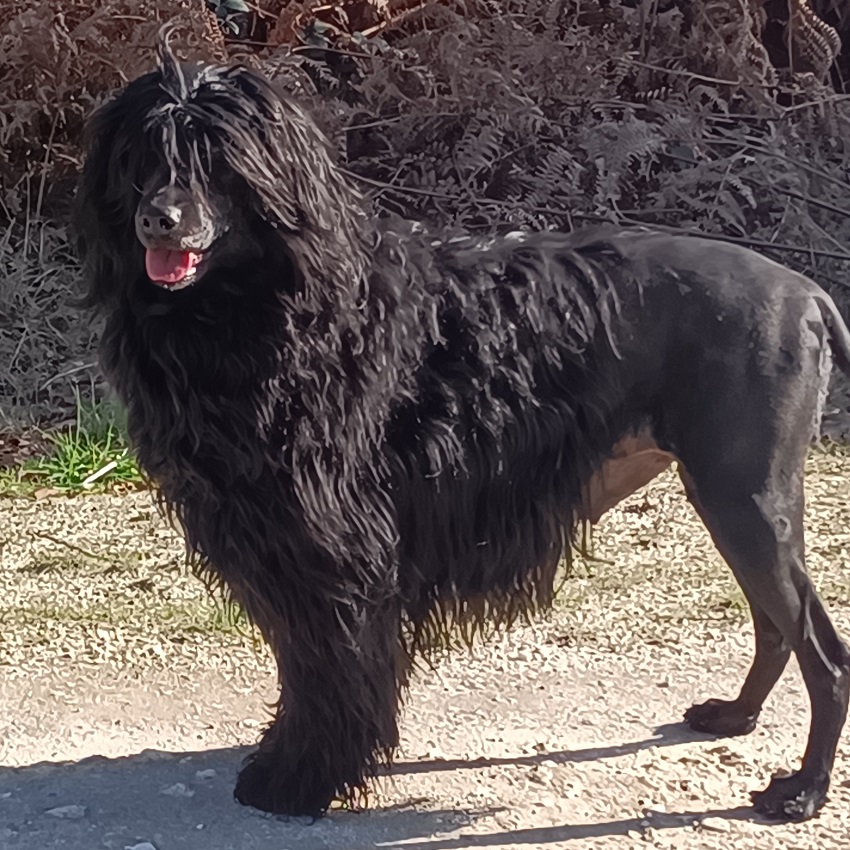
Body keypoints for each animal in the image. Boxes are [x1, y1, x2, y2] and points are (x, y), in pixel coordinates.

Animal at [74, 43, 848, 820]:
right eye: (142, 154)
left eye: (216, 157)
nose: (157, 220)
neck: (278, 309)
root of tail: (808, 293)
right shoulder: (280, 543)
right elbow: (308, 670)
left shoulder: (331, 552)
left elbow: (328, 670)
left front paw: (300, 779)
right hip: (731, 502)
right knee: (776, 629)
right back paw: (737, 717)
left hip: (745, 499)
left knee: (824, 653)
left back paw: (804, 790)